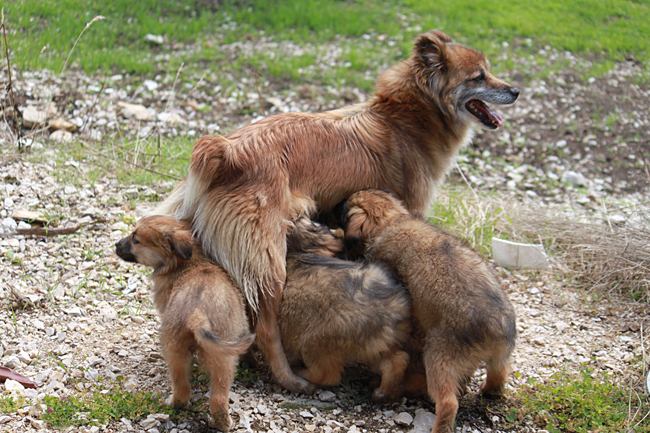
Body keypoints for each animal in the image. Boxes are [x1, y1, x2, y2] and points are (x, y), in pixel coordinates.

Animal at [115, 216, 255, 432]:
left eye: (135, 239)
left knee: (197, 394)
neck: (191, 262)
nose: (116, 245)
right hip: (204, 355)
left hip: (191, 354)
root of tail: (197, 312)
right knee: (204, 394)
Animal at [279, 217, 411, 401]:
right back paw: (383, 392)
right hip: (377, 345)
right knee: (398, 360)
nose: (299, 217)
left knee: (328, 375)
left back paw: (300, 372)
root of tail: (390, 309)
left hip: (315, 342)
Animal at [338, 189, 517, 433]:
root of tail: (495, 328)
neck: (392, 220)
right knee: (499, 374)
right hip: (500, 356)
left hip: (438, 356)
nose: (336, 204)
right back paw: (490, 392)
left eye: (345, 209)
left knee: (448, 402)